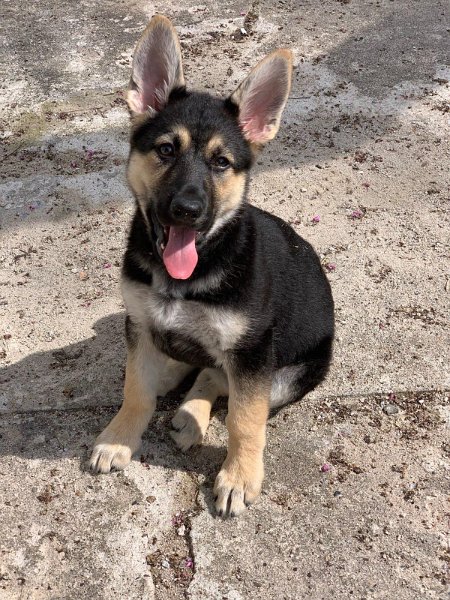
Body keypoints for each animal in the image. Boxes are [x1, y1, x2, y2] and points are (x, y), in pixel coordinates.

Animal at [89, 16, 334, 516]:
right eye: (166, 150)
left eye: (221, 162)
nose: (187, 210)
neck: (188, 275)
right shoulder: (139, 323)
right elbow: (135, 389)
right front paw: (121, 437)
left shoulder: (253, 352)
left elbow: (244, 420)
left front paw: (239, 477)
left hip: (290, 373)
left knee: (217, 377)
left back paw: (192, 415)